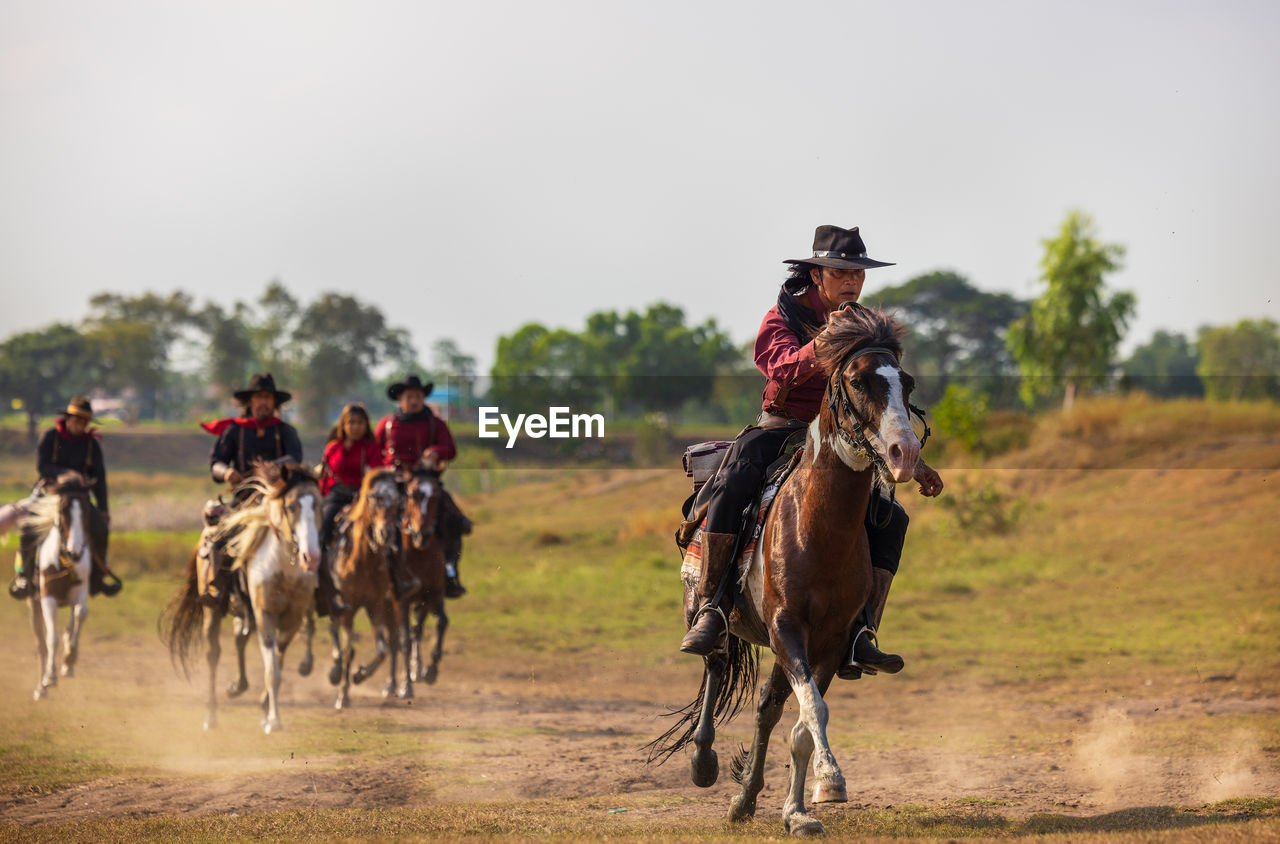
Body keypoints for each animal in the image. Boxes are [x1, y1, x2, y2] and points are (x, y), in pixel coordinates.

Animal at [23, 481, 94, 701]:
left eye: (86, 509)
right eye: (63, 511)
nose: (76, 552)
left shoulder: (80, 590)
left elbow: (80, 615)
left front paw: (69, 659)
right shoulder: (48, 596)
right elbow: (51, 638)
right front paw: (50, 677)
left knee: (69, 625)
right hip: (33, 603)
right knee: (41, 643)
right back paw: (41, 688)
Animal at [325, 466, 399, 712]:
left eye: (397, 500)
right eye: (373, 498)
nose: (385, 534)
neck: (363, 560)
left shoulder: (376, 605)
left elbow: (382, 650)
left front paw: (360, 675)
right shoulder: (347, 606)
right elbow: (349, 650)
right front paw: (343, 695)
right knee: (333, 630)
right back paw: (335, 670)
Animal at [650, 304, 921, 840]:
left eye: (907, 383)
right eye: (858, 381)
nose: (905, 454)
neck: (819, 527)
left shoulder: (831, 641)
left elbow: (802, 723)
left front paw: (799, 809)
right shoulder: (785, 627)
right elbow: (812, 708)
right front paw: (830, 781)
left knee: (766, 707)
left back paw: (746, 798)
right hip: (707, 609)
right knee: (714, 665)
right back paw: (704, 761)